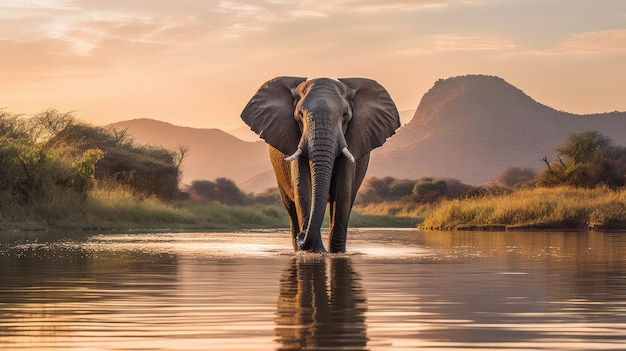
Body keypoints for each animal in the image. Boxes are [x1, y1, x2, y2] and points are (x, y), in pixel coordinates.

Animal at [241, 77, 398, 253]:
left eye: (345, 115)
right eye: (300, 115)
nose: (302, 236)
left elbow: (342, 191)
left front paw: (335, 253)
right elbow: (303, 188)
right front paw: (317, 253)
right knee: (291, 209)